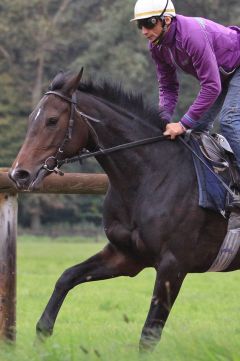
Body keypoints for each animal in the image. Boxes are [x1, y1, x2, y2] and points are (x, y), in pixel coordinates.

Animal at [8, 69, 239, 348]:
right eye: (32, 117)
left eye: (52, 120)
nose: (18, 174)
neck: (150, 176)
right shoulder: (126, 255)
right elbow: (66, 277)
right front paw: (42, 338)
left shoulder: (173, 265)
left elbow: (149, 335)